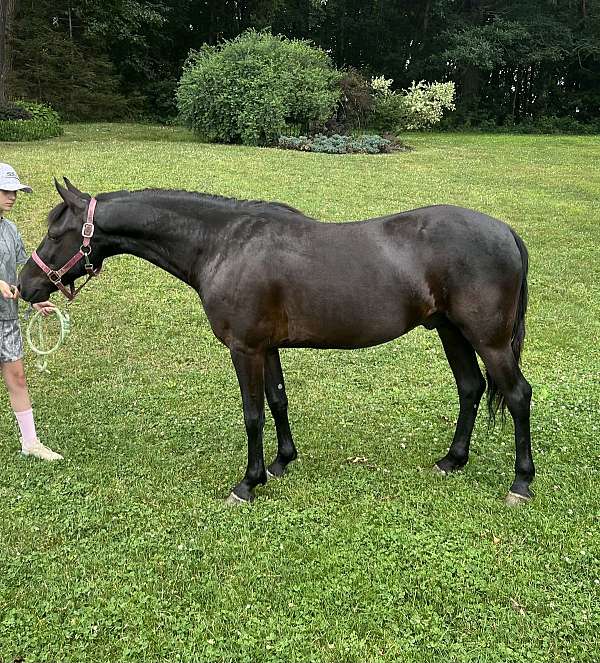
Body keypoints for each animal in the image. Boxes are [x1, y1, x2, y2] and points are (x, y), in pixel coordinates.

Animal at [18, 179, 534, 506]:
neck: (222, 243)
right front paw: (280, 464)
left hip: (488, 340)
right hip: (451, 331)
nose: (26, 286)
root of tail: (507, 231)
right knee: (470, 388)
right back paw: (454, 460)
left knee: (517, 395)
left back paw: (521, 483)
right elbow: (278, 400)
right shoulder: (266, 347)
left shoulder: (244, 348)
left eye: (57, 233)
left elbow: (252, 414)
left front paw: (247, 483)